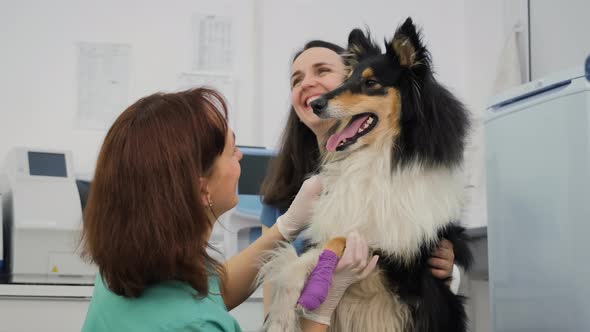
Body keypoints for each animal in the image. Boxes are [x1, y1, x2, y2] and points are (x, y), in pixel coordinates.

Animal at [262, 18, 474, 332]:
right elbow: (312, 255)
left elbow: (341, 242)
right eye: (345, 81)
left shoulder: (400, 250)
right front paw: (282, 313)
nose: (315, 104)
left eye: (371, 83)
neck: (378, 160)